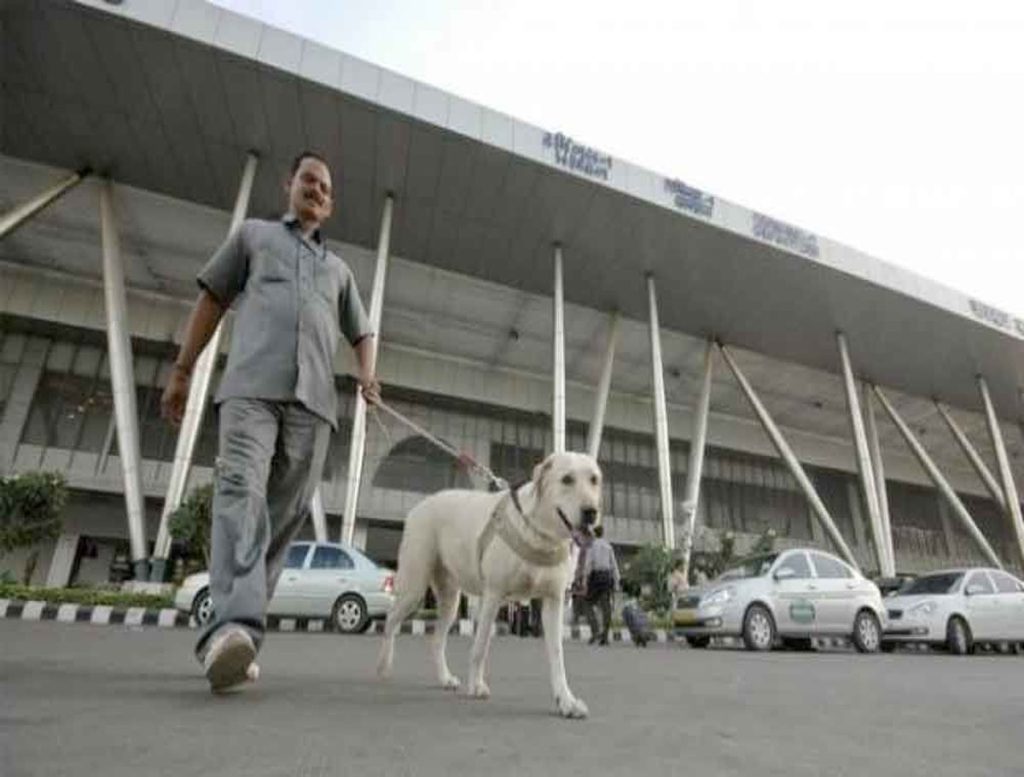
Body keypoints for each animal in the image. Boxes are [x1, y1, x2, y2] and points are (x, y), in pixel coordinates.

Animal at [376, 452, 598, 720]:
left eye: (594, 480)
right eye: (567, 479)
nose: (591, 512)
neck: (538, 532)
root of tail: (422, 504)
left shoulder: (553, 601)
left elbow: (557, 656)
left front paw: (565, 700)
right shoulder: (493, 595)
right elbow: (480, 646)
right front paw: (476, 685)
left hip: (450, 599)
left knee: (437, 639)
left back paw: (444, 678)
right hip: (414, 586)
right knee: (390, 619)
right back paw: (384, 664)